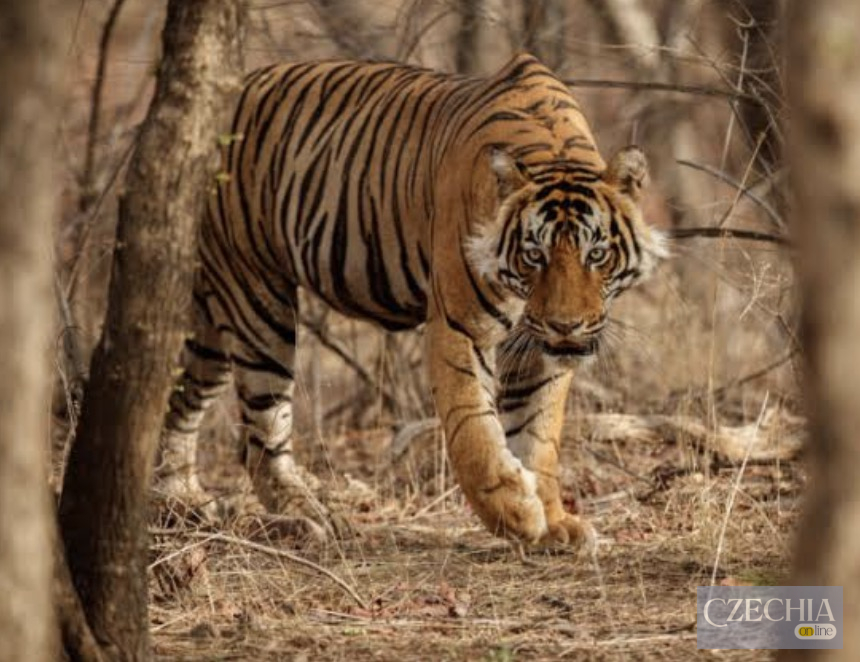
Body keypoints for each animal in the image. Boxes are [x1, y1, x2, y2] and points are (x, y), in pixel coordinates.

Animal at [156, 53, 667, 547]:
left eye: (595, 254)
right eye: (534, 256)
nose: (566, 325)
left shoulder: (538, 348)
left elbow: (538, 433)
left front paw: (554, 523)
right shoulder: (461, 325)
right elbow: (472, 429)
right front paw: (515, 513)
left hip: (213, 316)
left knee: (181, 394)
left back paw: (179, 498)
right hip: (257, 299)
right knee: (261, 436)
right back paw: (312, 517)